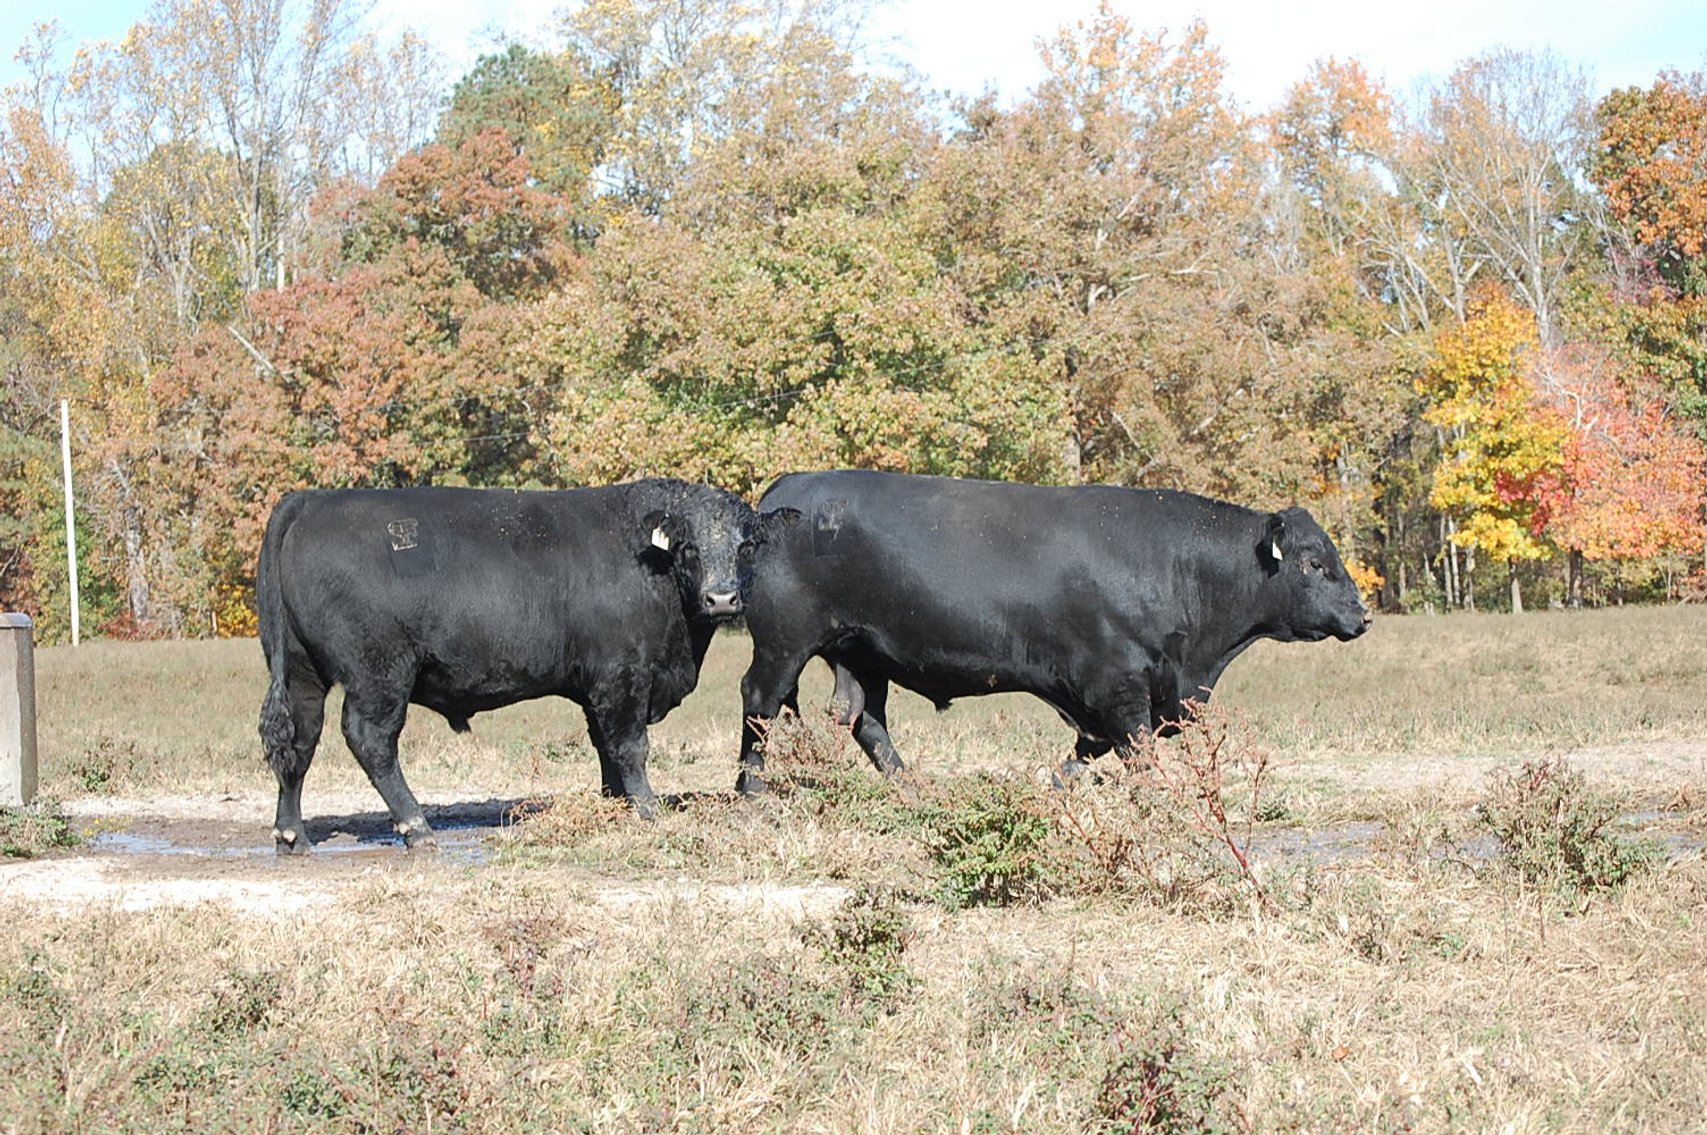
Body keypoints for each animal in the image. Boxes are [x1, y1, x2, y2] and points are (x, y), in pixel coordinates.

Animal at [257, 479, 792, 853]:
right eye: (690, 547)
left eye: (746, 546)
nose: (721, 598)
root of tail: (311, 500)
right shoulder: (623, 677)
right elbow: (630, 747)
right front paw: (647, 810)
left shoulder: (596, 686)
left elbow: (605, 748)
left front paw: (615, 805)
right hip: (379, 674)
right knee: (371, 741)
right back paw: (418, 828)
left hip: (302, 673)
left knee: (299, 741)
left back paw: (291, 834)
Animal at [736, 470, 1371, 793]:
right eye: (1315, 563)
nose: (1362, 616)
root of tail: (789, 486)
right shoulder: (1117, 682)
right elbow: (1137, 749)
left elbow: (1094, 746)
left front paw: (1059, 782)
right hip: (784, 641)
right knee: (760, 701)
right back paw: (751, 790)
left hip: (862, 651)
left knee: (863, 717)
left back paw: (913, 786)